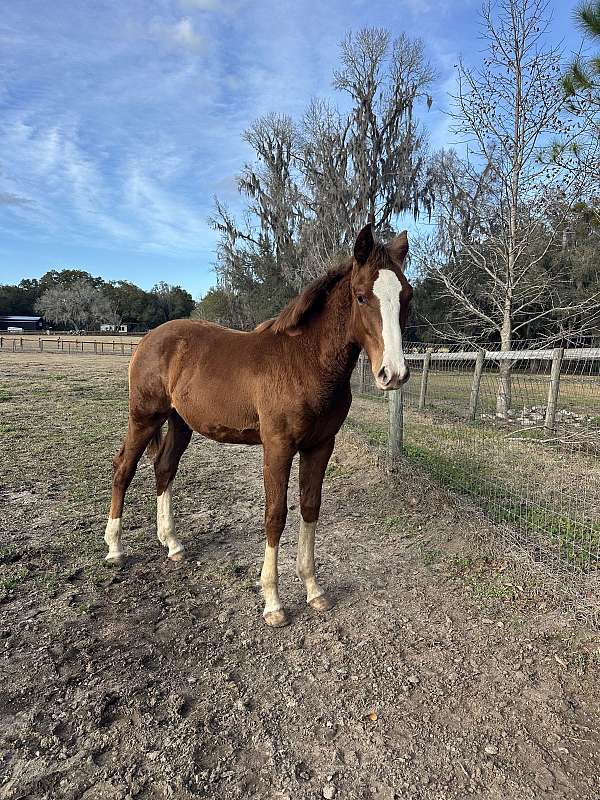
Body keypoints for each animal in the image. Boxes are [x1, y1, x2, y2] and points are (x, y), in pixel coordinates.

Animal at [104, 223, 412, 627]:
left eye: (406, 296)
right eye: (361, 297)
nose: (393, 374)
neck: (304, 362)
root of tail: (150, 338)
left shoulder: (320, 445)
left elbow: (310, 507)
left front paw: (314, 590)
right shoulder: (278, 447)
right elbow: (275, 515)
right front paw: (273, 603)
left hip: (180, 422)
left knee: (164, 468)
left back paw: (172, 544)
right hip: (144, 417)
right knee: (124, 468)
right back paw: (115, 549)